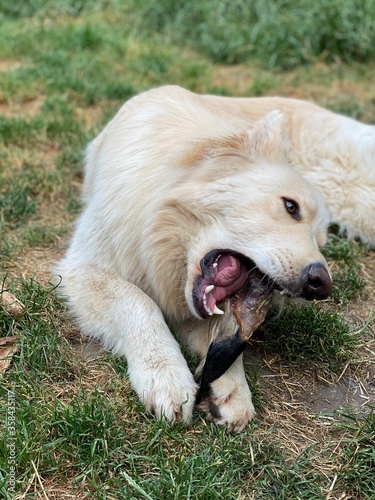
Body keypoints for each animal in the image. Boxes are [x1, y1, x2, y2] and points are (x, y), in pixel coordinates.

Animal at [55, 85, 344, 430]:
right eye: (290, 206)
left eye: (320, 241)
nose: (322, 284)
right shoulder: (84, 269)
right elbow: (139, 303)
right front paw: (165, 374)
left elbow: (223, 330)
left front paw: (233, 386)